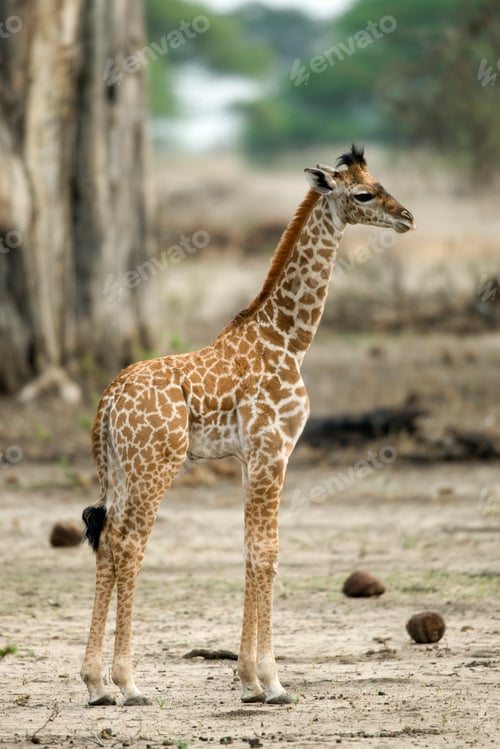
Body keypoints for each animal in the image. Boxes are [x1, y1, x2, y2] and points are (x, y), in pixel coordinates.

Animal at [81, 145, 415, 707]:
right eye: (364, 194)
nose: (407, 217)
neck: (289, 340)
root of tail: (108, 401)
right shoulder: (274, 449)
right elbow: (268, 552)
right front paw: (272, 681)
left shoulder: (248, 457)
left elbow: (248, 550)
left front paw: (248, 680)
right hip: (156, 465)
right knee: (129, 544)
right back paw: (128, 683)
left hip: (122, 470)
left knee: (106, 539)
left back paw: (96, 684)